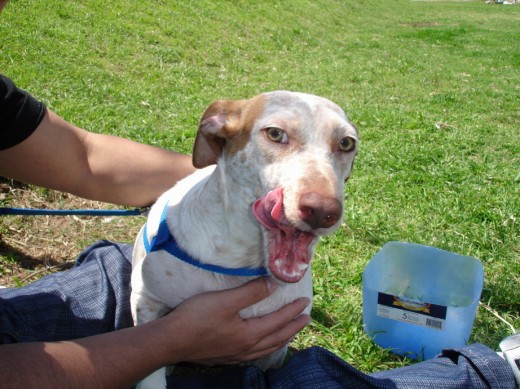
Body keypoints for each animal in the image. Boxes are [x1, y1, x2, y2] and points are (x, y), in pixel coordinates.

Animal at [130, 90, 358, 384]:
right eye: (275, 134)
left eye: (346, 142)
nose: (322, 211)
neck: (240, 261)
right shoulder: (146, 303)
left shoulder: (272, 352)